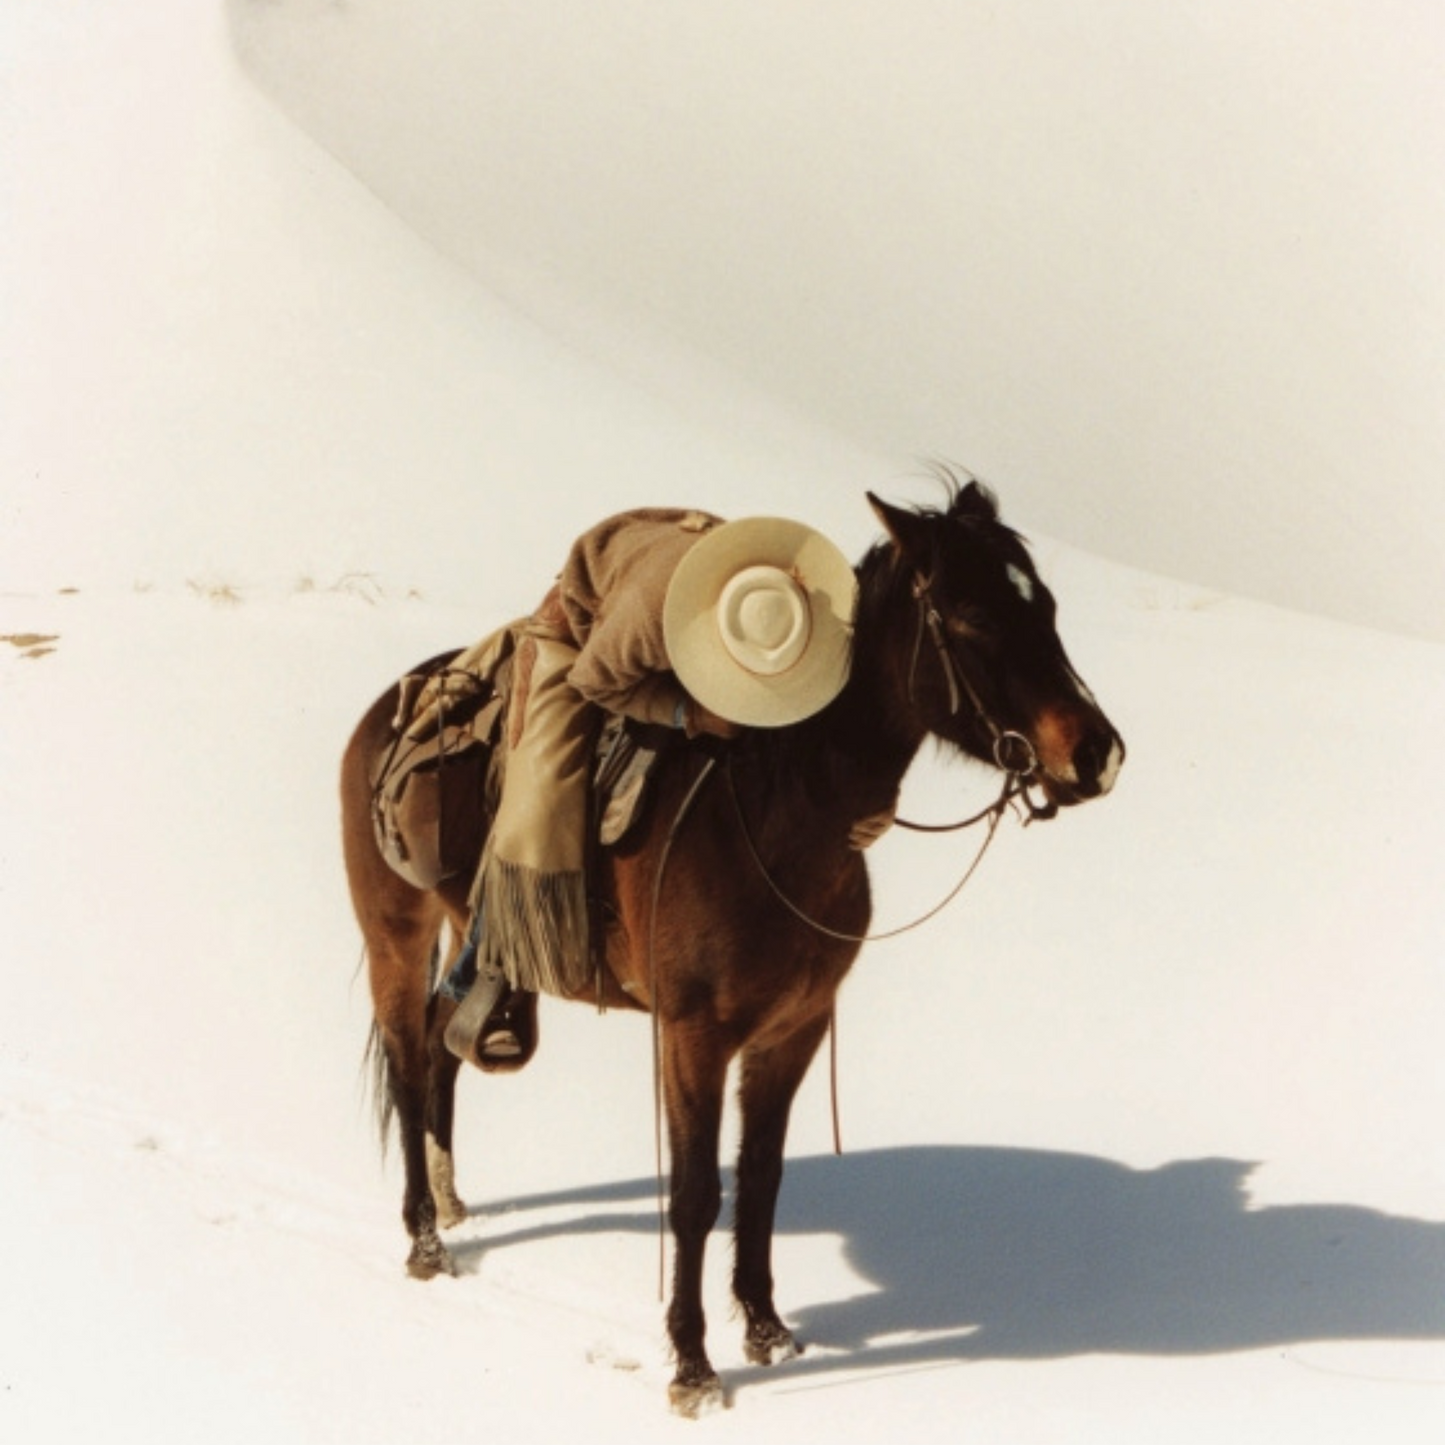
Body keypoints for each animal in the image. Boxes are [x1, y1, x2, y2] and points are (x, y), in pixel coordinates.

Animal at [341, 482, 1127, 1410]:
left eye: (1044, 606)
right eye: (972, 615)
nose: (1095, 753)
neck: (779, 816)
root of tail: (388, 706)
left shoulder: (793, 1029)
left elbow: (759, 1179)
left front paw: (767, 1330)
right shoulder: (693, 1035)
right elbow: (693, 1193)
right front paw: (691, 1364)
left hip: (470, 935)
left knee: (442, 1047)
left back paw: (454, 1200)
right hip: (396, 935)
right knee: (406, 1060)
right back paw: (425, 1240)